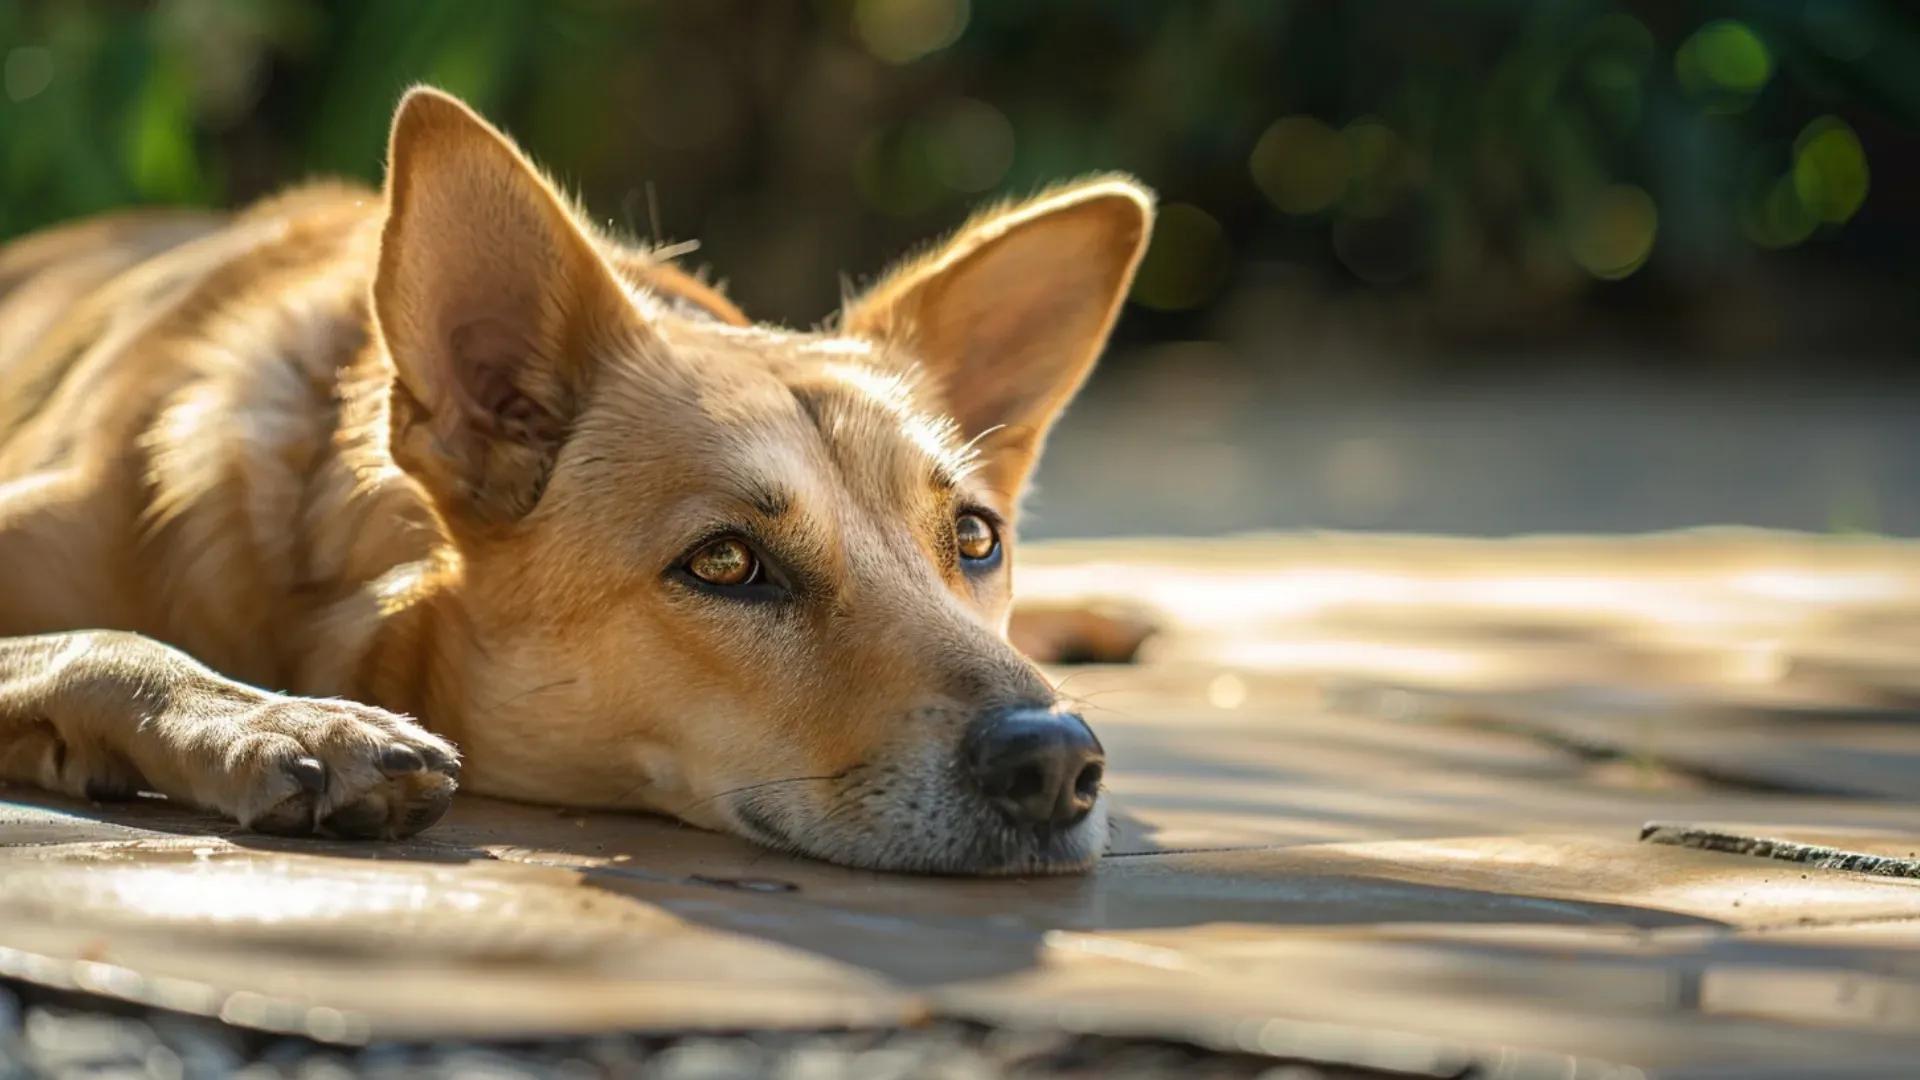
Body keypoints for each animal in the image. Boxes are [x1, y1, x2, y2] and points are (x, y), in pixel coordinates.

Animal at [0, 88, 1144, 868]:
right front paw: (276, 722)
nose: (1055, 761)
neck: (317, 589)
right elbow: (108, 639)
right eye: (725, 562)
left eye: (976, 539)